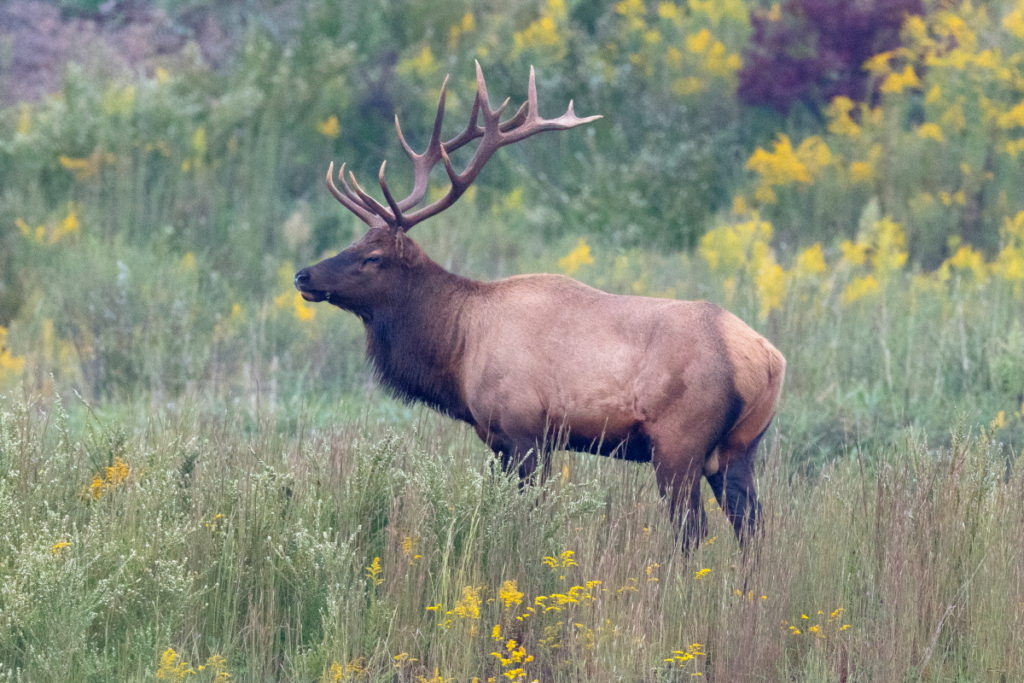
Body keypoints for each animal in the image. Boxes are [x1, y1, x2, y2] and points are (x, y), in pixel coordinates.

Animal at [292, 61, 786, 548]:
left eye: (372, 257)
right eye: (353, 242)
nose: (303, 275)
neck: (458, 349)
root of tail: (767, 360)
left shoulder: (524, 429)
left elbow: (529, 515)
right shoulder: (500, 439)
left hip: (679, 441)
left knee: (694, 530)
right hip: (740, 447)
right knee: (753, 529)